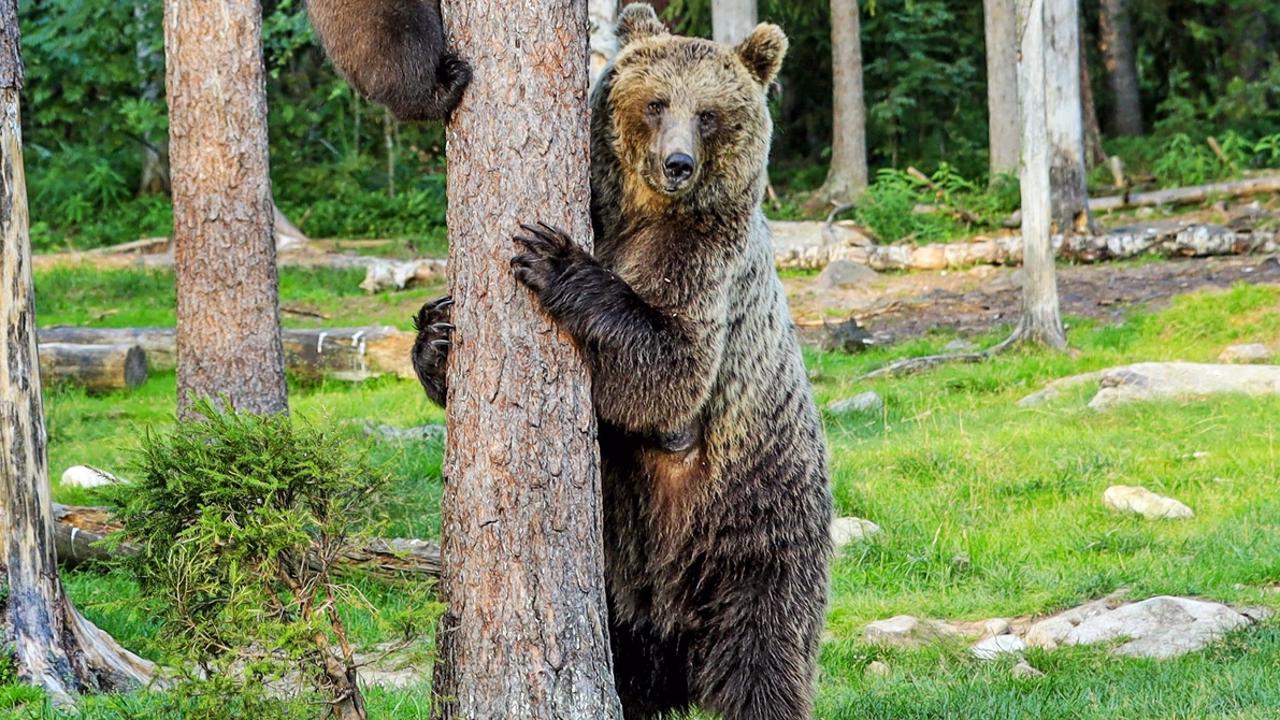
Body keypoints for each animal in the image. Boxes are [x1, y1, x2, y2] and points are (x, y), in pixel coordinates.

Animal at [409, 5, 829, 717]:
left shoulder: (703, 258)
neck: (642, 213)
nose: (678, 163)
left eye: (709, 113)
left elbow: (667, 369)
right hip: (622, 576)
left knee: (763, 650)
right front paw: (437, 332)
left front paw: (551, 257)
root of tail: (676, 619)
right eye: (656, 103)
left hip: (761, 522)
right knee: (629, 662)